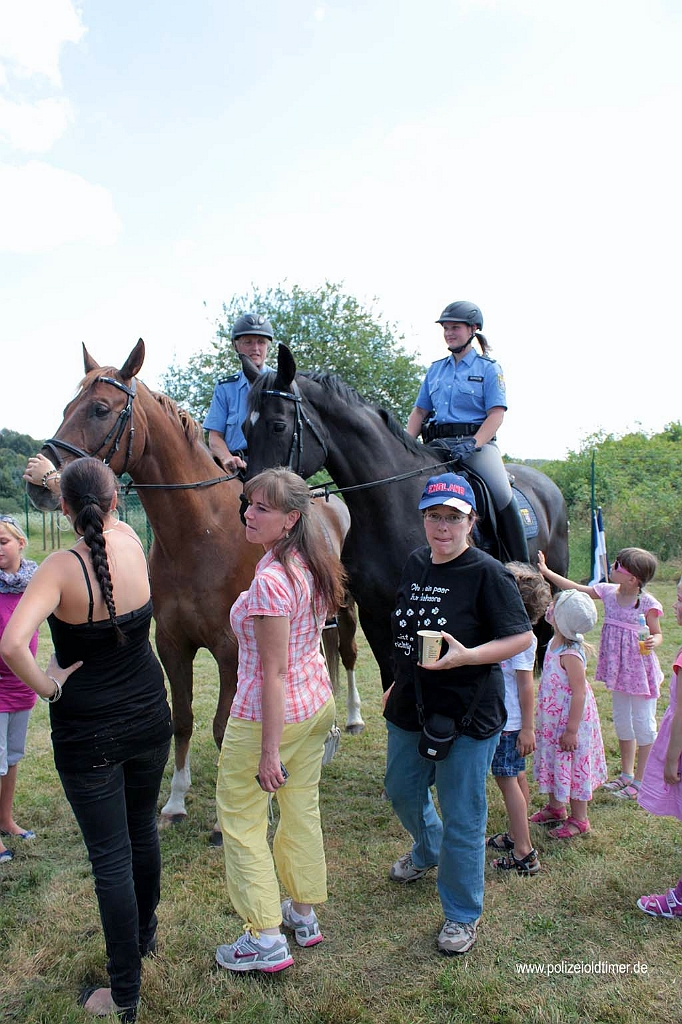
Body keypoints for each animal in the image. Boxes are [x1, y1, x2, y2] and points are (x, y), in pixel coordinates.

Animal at [23, 339, 358, 835]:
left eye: (100, 409)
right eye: (67, 407)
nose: (39, 480)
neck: (200, 533)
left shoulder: (232, 648)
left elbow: (222, 727)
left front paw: (226, 818)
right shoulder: (172, 642)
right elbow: (181, 719)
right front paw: (176, 800)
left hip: (351, 608)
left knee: (349, 654)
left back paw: (351, 719)